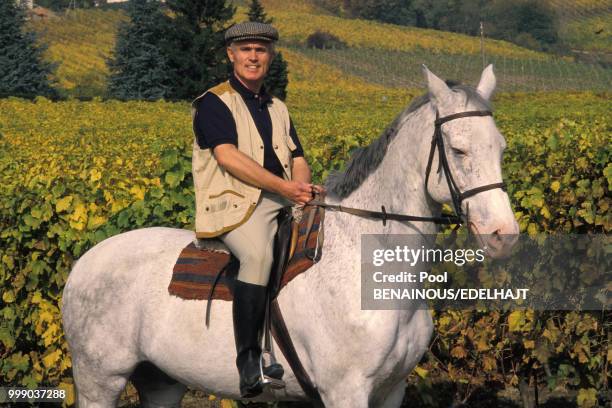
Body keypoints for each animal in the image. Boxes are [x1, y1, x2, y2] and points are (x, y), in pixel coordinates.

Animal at [62, 67, 520, 408]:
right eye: (458, 150)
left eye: (500, 147)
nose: (504, 236)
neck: (367, 265)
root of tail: (86, 261)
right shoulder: (346, 391)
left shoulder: (391, 391)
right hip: (100, 379)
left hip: (161, 381)